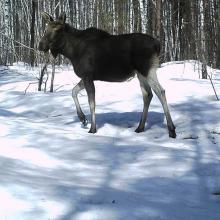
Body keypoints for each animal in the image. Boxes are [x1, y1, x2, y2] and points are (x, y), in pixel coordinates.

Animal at [38, 12, 176, 138]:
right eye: (46, 28)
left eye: (58, 30)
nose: (40, 45)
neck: (71, 52)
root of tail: (158, 45)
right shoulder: (86, 76)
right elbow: (73, 91)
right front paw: (82, 118)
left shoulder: (88, 75)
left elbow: (91, 102)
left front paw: (93, 128)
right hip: (140, 73)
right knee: (147, 94)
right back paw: (140, 127)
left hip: (147, 69)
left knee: (160, 91)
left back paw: (171, 130)